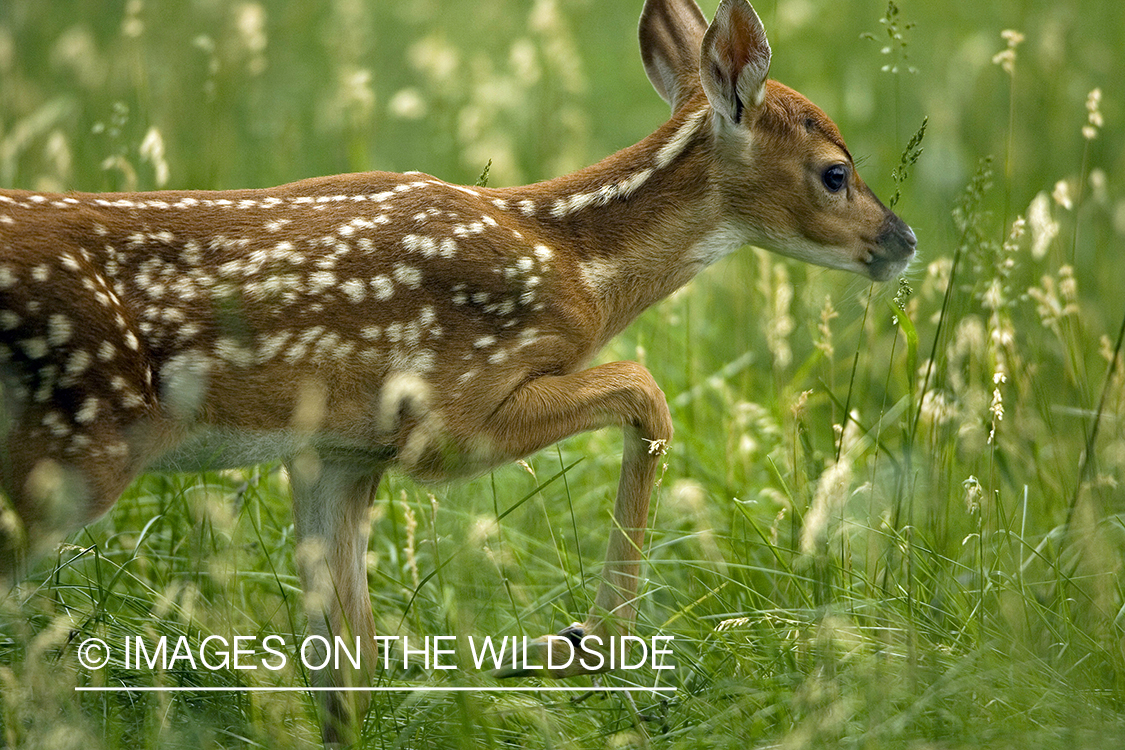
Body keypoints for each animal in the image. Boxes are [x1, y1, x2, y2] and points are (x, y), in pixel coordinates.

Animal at [0, 0, 914, 742]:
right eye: (836, 173)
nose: (899, 241)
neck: (573, 264)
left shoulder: (336, 453)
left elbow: (346, 658)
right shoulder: (449, 412)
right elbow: (645, 392)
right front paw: (586, 644)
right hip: (77, 437)